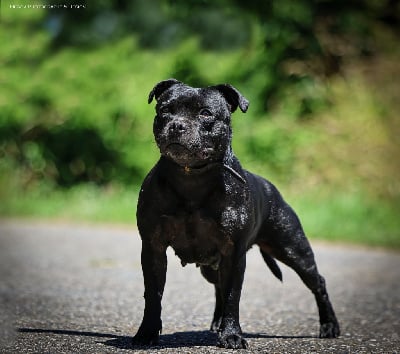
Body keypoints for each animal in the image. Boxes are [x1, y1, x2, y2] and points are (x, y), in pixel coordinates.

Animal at [133, 79, 340, 348]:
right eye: (165, 110)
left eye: (205, 113)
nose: (177, 125)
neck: (191, 177)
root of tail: (272, 188)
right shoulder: (153, 248)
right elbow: (153, 294)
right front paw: (147, 332)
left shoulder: (233, 253)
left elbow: (233, 296)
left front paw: (231, 334)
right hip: (211, 267)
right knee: (217, 287)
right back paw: (216, 323)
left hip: (294, 250)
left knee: (318, 282)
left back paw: (329, 325)